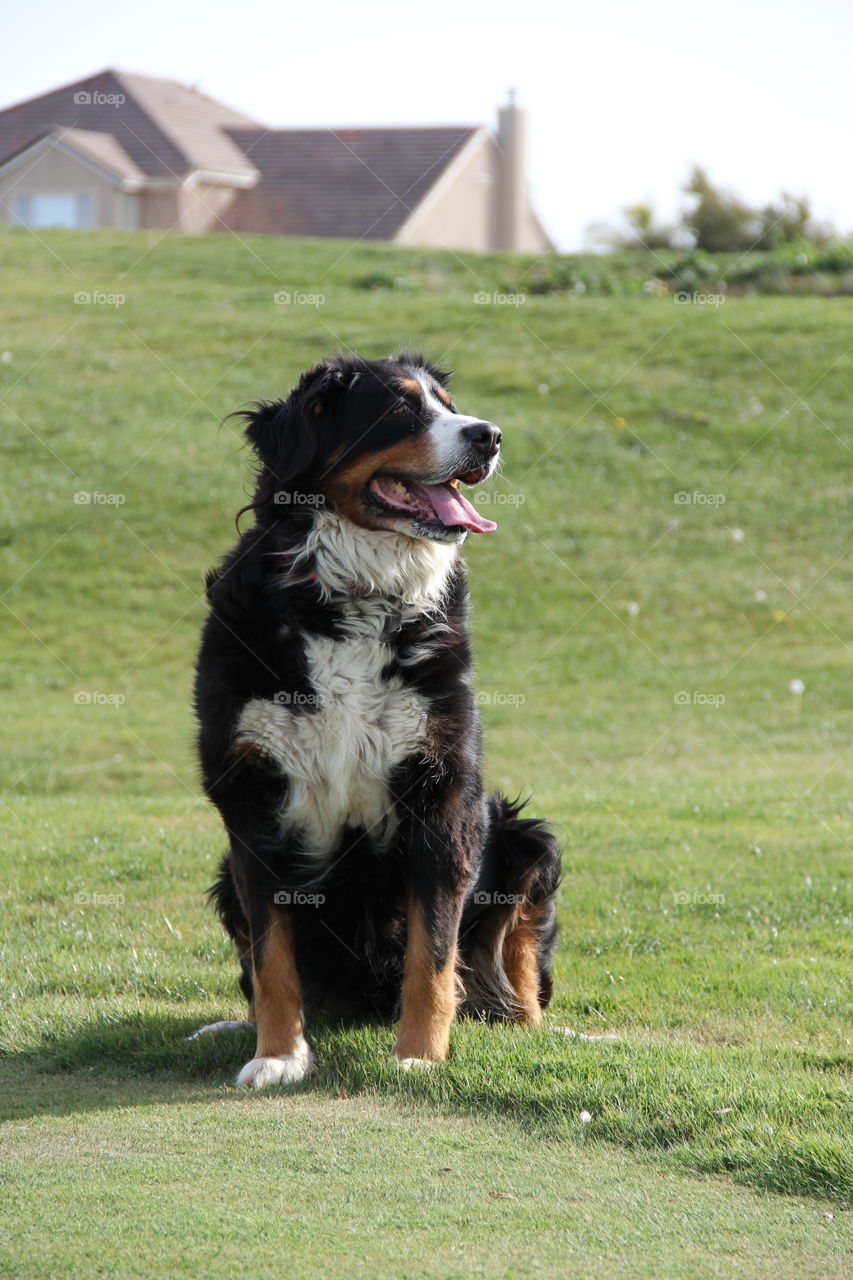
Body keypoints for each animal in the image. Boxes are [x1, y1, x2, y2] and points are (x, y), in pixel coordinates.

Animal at [192, 353, 558, 1090]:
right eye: (398, 409)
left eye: (450, 405)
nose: (489, 436)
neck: (354, 598)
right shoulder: (250, 803)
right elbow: (271, 958)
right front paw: (278, 1055)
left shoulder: (444, 797)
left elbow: (433, 954)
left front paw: (419, 1055)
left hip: (525, 840)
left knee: (517, 962)